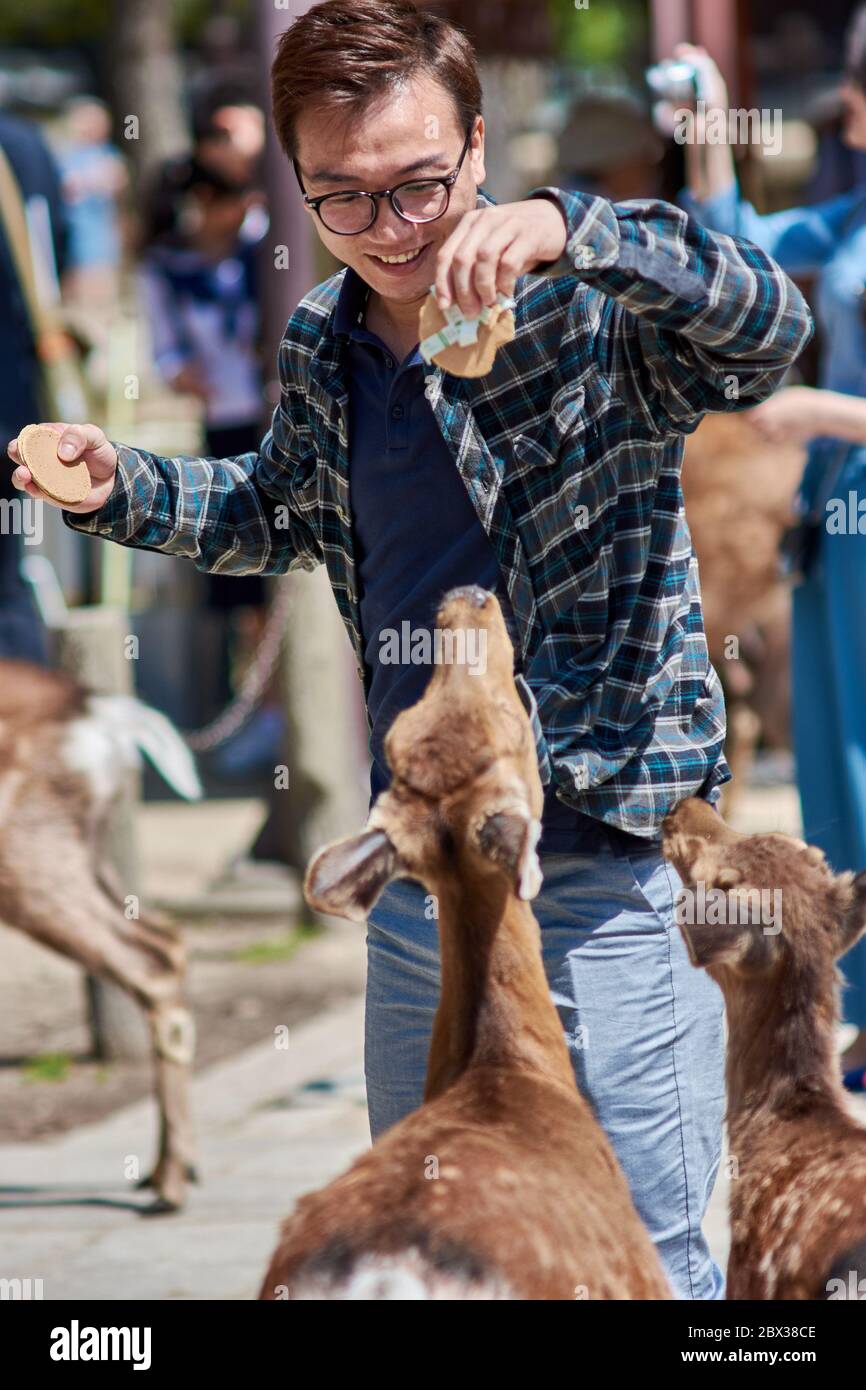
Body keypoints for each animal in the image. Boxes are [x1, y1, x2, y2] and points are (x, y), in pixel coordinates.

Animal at [0, 656, 201, 1212]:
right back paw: (164, 1171)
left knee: (150, 963)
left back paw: (171, 1185)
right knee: (168, 942)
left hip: (28, 853)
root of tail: (102, 712)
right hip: (84, 854)